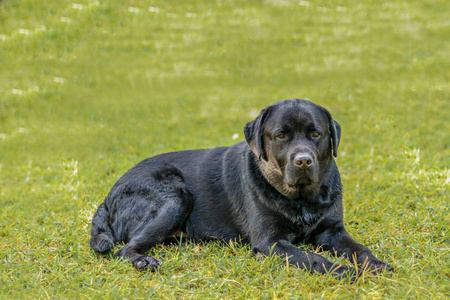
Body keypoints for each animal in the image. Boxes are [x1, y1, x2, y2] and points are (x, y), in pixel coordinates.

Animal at [89, 99, 392, 278]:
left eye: (316, 134)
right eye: (281, 136)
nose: (304, 160)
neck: (301, 199)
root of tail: (108, 196)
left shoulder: (333, 230)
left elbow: (359, 249)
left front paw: (376, 264)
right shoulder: (271, 242)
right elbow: (315, 259)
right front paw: (346, 272)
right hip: (175, 198)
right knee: (124, 250)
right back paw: (143, 261)